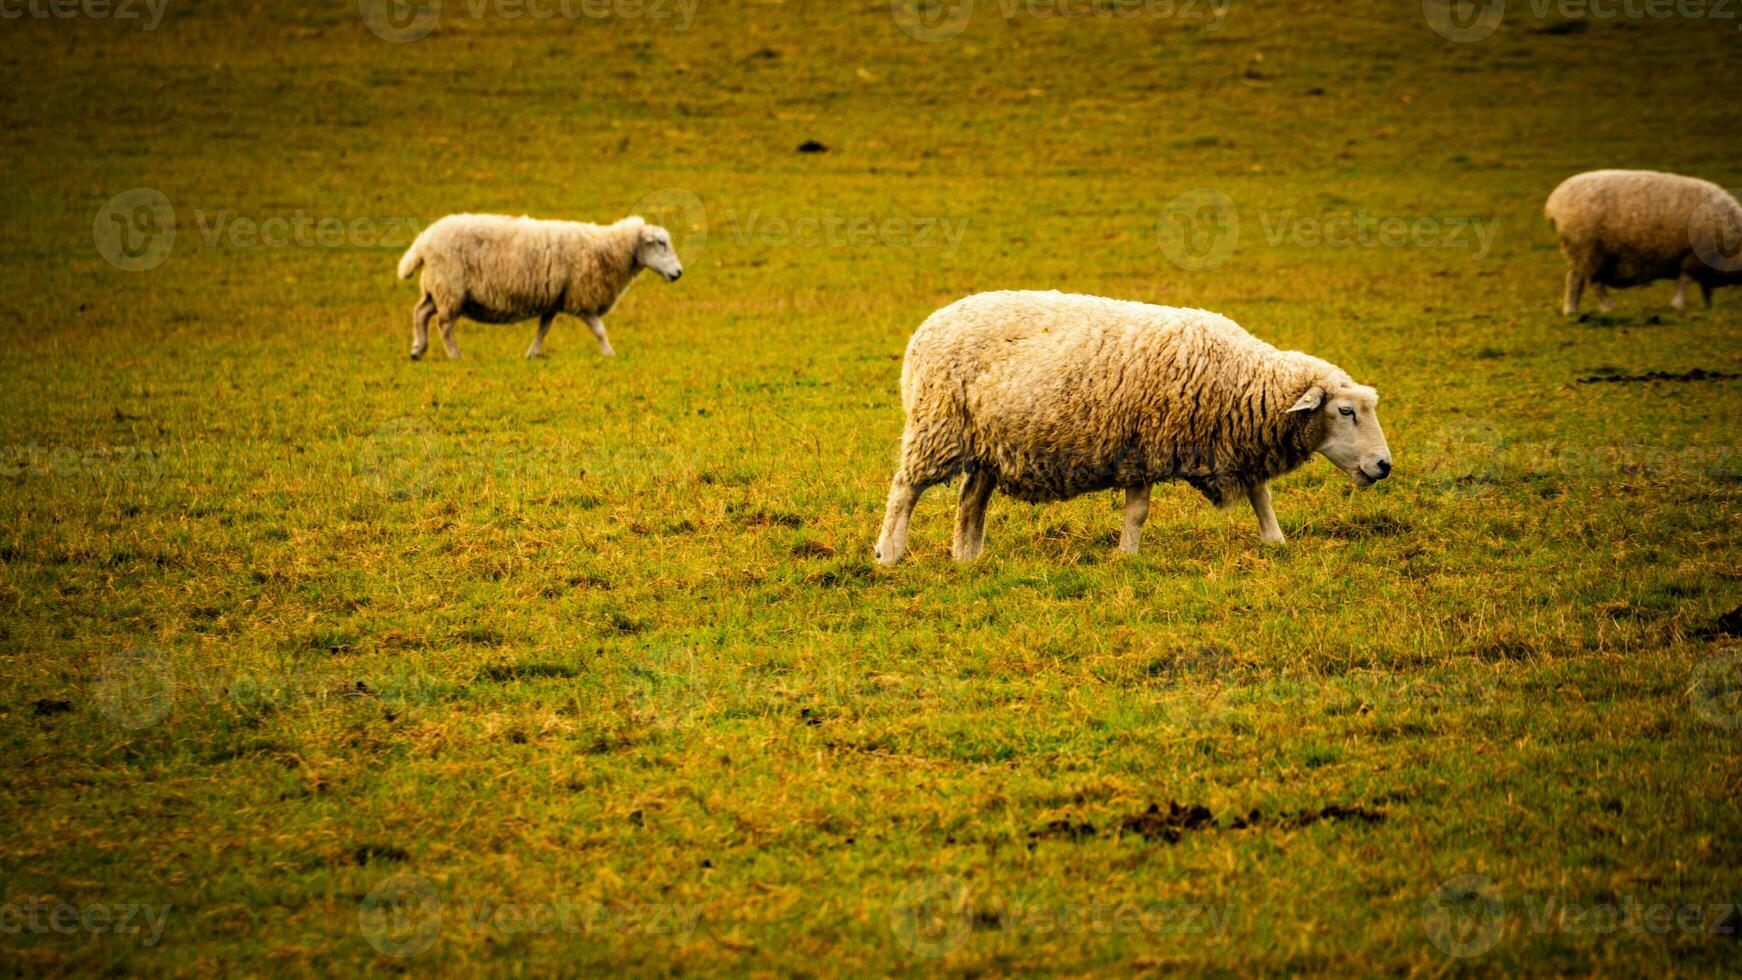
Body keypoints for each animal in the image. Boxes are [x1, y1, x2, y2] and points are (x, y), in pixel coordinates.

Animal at [398, 214, 682, 360]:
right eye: (660, 243)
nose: (679, 273)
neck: (607, 249)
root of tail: (423, 239)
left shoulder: (555, 300)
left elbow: (542, 330)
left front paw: (532, 354)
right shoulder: (582, 299)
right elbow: (600, 330)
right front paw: (609, 353)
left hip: (437, 288)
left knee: (420, 312)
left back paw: (418, 349)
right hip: (450, 288)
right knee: (443, 324)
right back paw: (455, 354)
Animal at [877, 290, 1393, 563]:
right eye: (1345, 412)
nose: (1384, 465)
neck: (1243, 377)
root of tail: (928, 325)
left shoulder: (1229, 443)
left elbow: (1260, 495)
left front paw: (1275, 541)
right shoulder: (1147, 446)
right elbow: (1138, 512)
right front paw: (1128, 555)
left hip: (989, 444)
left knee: (970, 503)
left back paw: (967, 558)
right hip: (937, 425)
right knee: (905, 490)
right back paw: (889, 554)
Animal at [1546, 170, 1735, 316]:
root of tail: (1552, 203)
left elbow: (1704, 287)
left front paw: (1708, 306)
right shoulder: (1692, 257)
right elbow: (1684, 281)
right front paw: (1678, 305)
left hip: (1585, 253)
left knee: (1586, 282)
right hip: (1585, 250)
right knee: (1582, 282)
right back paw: (1596, 309)